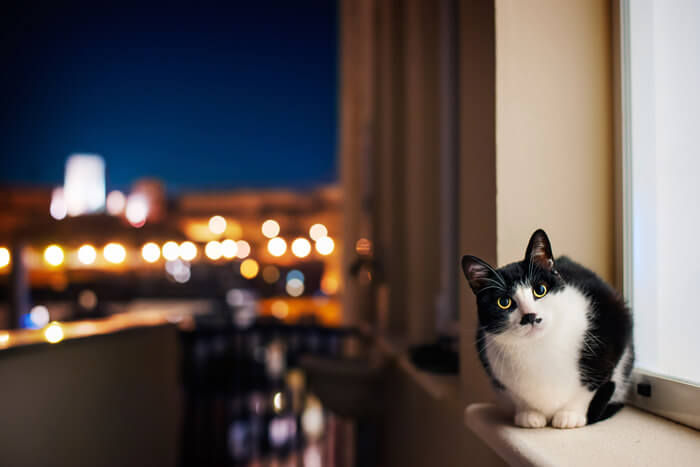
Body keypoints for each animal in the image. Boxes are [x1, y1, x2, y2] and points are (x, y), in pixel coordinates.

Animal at [460, 229, 636, 430]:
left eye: (540, 290)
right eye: (504, 302)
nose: (530, 316)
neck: (538, 346)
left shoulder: (613, 320)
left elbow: (590, 384)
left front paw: (570, 414)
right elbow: (516, 395)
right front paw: (529, 414)